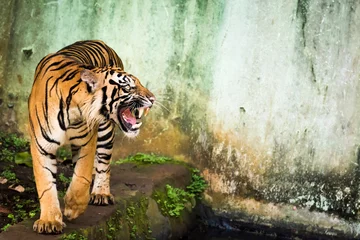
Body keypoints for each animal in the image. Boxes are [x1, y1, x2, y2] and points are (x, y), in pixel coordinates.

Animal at [28, 40, 155, 233]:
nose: (153, 99)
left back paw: (101, 193)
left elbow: (82, 177)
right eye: (128, 87)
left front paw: (72, 208)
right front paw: (49, 221)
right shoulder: (41, 146)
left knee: (103, 163)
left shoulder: (87, 142)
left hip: (105, 132)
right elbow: (46, 184)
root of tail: (102, 42)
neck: (73, 108)